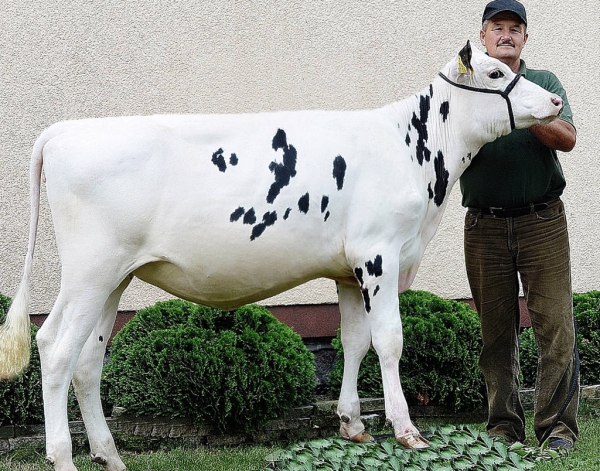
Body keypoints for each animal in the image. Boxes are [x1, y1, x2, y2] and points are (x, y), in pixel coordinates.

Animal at [0, 41, 564, 471]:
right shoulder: (379, 254)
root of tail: (66, 130)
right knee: (55, 348)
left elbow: (353, 341)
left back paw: (110, 455)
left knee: (86, 359)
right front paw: (406, 430)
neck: (414, 152)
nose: (557, 101)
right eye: (496, 72)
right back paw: (64, 457)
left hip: (113, 277)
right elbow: (389, 341)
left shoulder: (349, 269)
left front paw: (353, 424)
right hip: (89, 272)